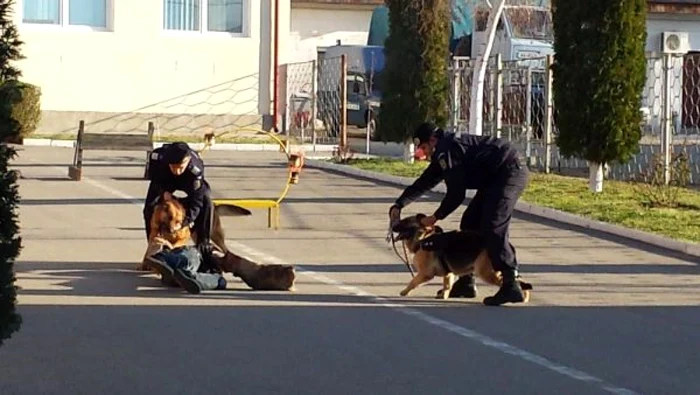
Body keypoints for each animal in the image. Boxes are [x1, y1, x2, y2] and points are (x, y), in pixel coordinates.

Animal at [141, 193, 296, 292]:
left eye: (179, 220)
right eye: (170, 217)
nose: (173, 229)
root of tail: (215, 204)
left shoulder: (180, 238)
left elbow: (173, 245)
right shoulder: (155, 233)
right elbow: (152, 247)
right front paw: (147, 263)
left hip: (214, 235)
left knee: (224, 249)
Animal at [392, 215, 532, 302]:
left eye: (405, 221)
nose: (392, 226)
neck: (424, 239)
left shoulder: (425, 273)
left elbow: (413, 282)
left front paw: (404, 292)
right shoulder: (448, 273)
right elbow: (447, 285)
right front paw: (444, 295)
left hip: (486, 272)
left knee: (515, 281)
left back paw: (515, 296)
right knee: (518, 279)